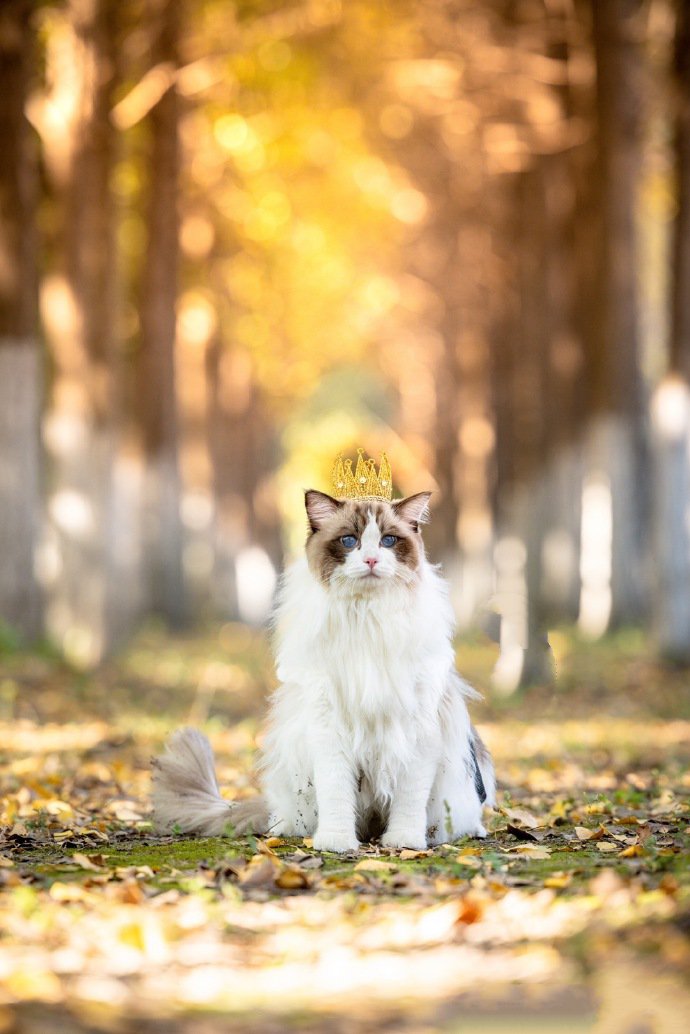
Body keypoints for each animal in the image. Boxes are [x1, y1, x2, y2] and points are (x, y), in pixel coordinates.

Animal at [153, 488, 494, 852]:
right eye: (349, 541)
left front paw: (404, 842)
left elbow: (409, 799)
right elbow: (336, 793)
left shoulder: (418, 726)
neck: (366, 617)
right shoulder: (329, 722)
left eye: (388, 541)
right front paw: (336, 842)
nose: (371, 560)